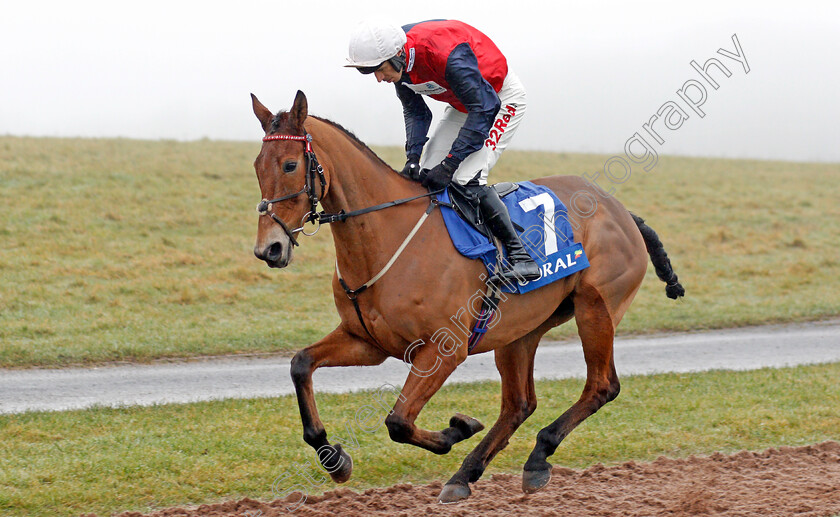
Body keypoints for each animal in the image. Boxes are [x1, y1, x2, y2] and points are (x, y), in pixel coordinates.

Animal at [249, 90, 684, 502]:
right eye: (257, 165)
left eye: (290, 165)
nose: (269, 249)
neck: (389, 236)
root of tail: (623, 211)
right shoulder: (368, 342)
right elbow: (301, 364)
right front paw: (333, 458)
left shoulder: (445, 349)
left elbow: (398, 421)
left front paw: (456, 429)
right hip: (520, 330)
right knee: (519, 404)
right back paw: (466, 475)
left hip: (597, 310)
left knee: (601, 387)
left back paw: (537, 456)